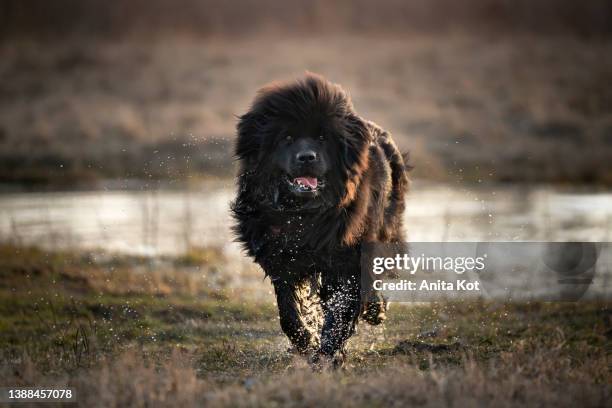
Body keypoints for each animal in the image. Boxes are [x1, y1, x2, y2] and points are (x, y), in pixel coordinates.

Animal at [232, 73, 408, 366]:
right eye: (287, 137)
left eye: (323, 138)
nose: (307, 157)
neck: (305, 214)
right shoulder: (280, 258)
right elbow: (288, 312)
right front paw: (305, 342)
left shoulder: (348, 258)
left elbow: (341, 311)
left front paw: (327, 353)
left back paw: (375, 309)